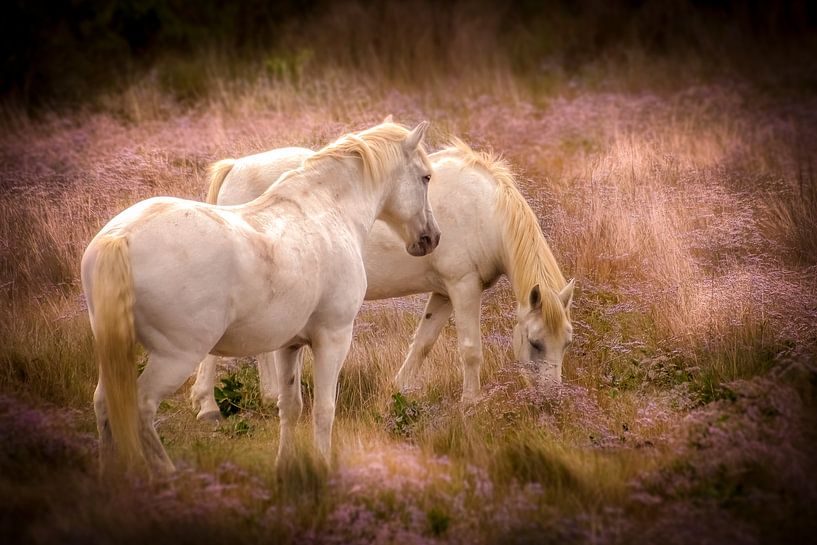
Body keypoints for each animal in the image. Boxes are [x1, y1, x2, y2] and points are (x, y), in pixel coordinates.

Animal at [81, 121, 440, 475]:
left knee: (104, 402)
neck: (327, 210)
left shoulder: (289, 345)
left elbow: (290, 407)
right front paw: (323, 467)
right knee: (140, 406)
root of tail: (121, 236)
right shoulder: (333, 338)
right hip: (176, 357)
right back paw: (169, 471)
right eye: (426, 177)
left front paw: (285, 466)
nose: (431, 238)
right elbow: (324, 410)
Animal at [191, 135, 574, 420]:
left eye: (566, 343)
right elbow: (470, 350)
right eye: (535, 343)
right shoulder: (464, 287)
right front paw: (470, 405)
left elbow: (422, 344)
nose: (552, 402)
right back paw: (208, 405)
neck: (484, 208)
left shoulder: (444, 295)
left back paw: (270, 396)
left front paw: (396, 391)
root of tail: (234, 167)